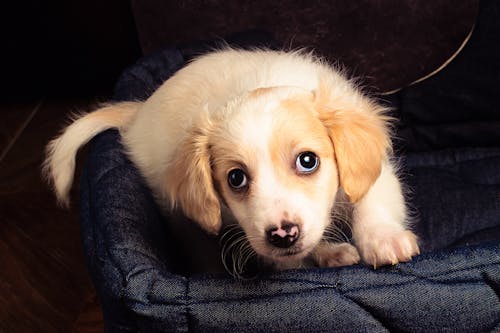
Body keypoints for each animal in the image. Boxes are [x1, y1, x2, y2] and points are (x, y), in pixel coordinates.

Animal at [43, 48, 420, 272]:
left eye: (307, 161)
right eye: (236, 178)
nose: (282, 235)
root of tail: (138, 113)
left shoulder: (375, 167)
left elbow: (372, 198)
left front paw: (383, 239)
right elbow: (290, 264)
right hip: (179, 215)